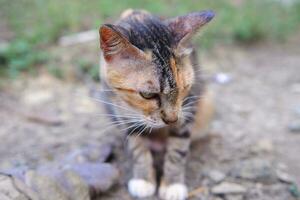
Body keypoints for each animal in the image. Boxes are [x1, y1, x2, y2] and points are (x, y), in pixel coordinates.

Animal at [99, 8, 214, 199]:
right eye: (147, 94)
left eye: (184, 88)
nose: (172, 120)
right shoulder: (125, 113)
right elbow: (138, 150)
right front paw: (143, 180)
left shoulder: (187, 109)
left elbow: (178, 151)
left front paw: (173, 185)